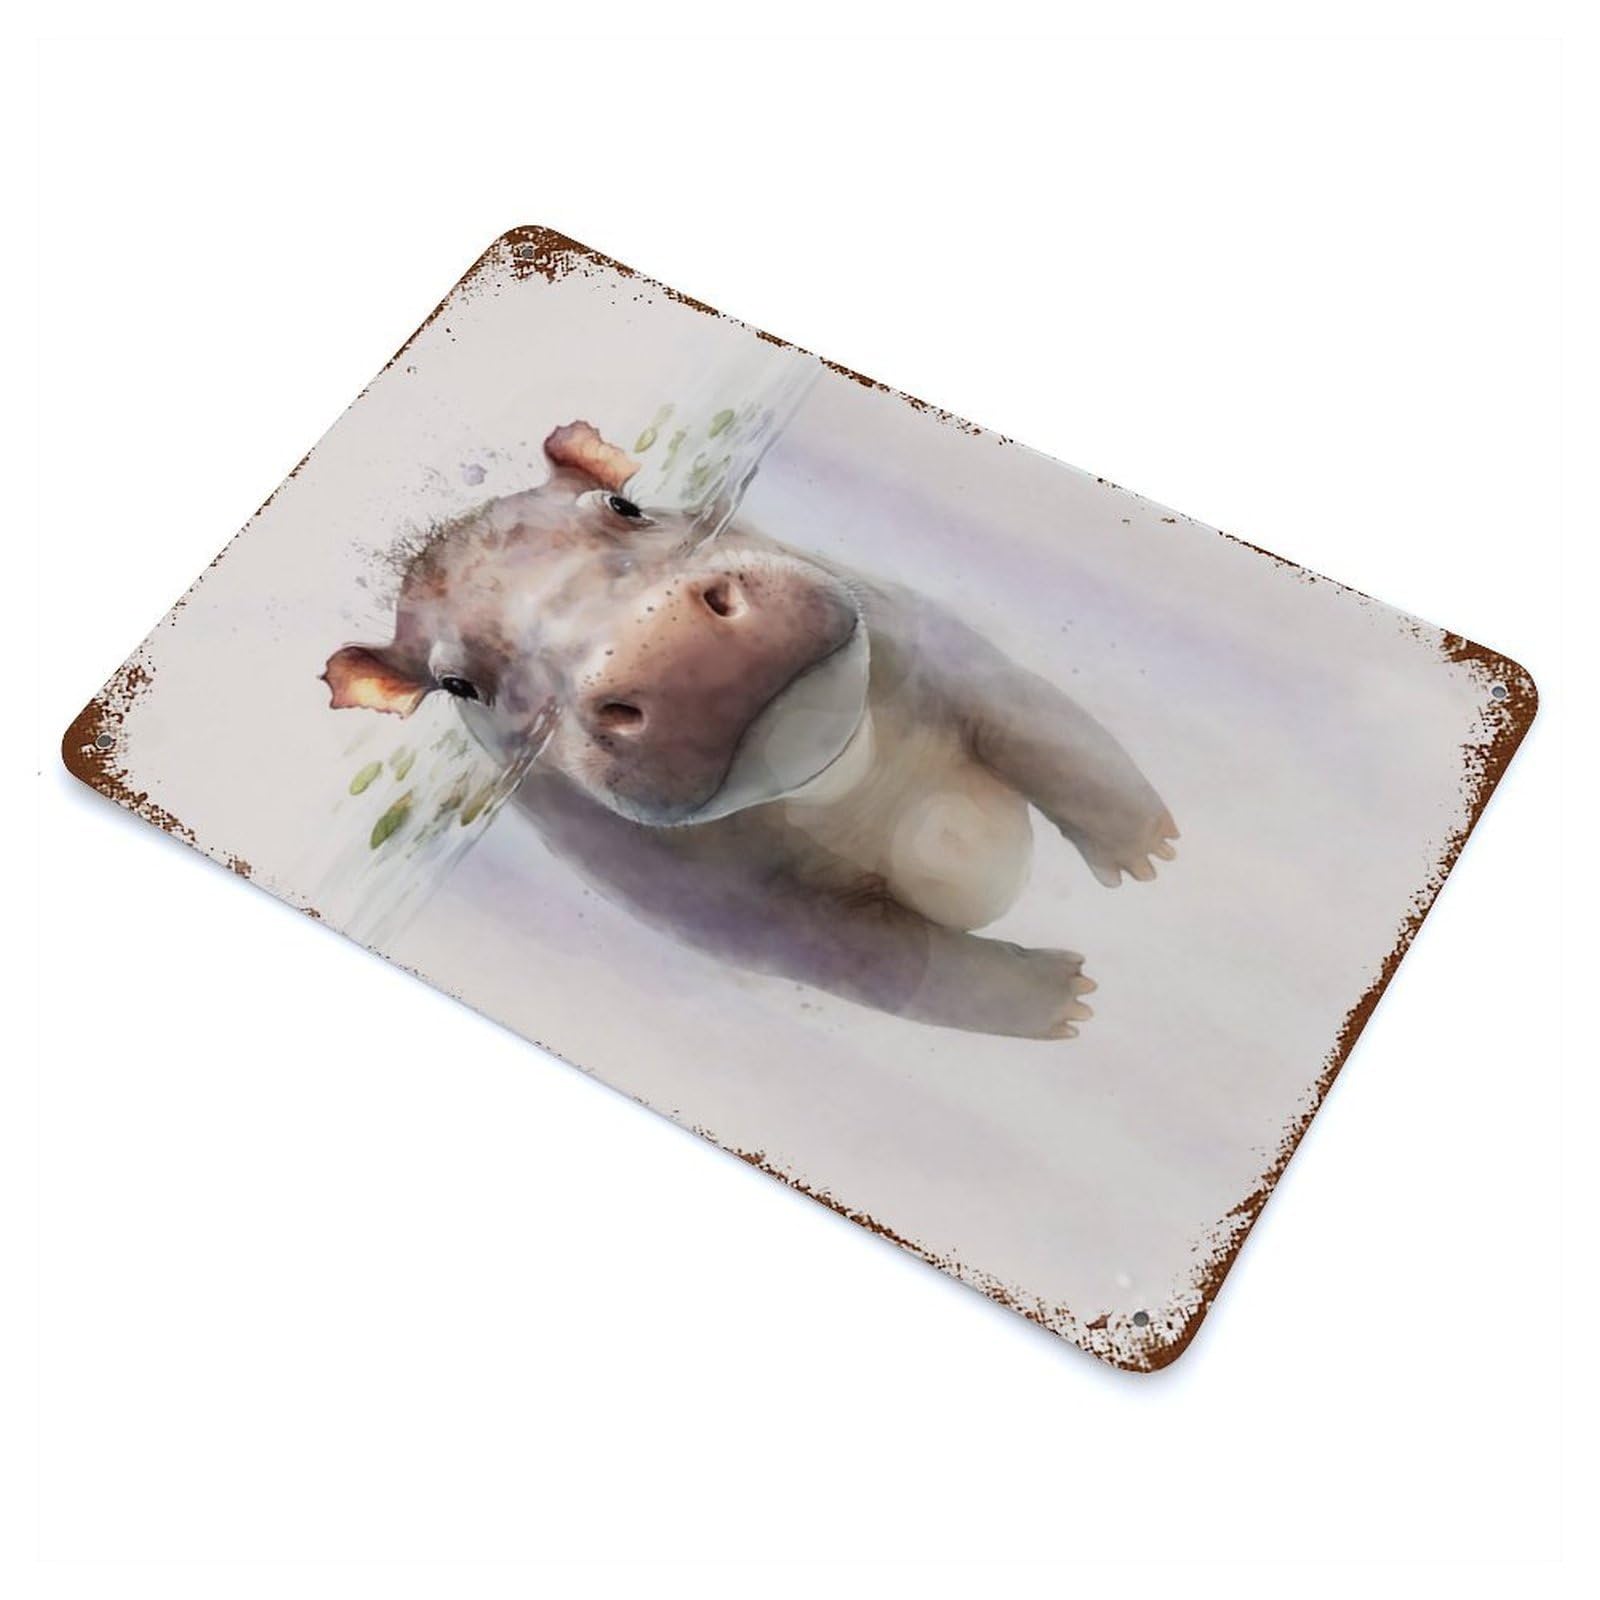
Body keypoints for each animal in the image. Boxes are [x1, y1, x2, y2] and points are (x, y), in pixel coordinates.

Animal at [323, 421, 1177, 1038]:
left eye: (624, 507)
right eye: (458, 684)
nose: (664, 645)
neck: (843, 777)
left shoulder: (930, 643)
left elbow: (1044, 730)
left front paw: (1150, 853)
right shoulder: (703, 902)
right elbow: (883, 964)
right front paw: (1067, 1004)